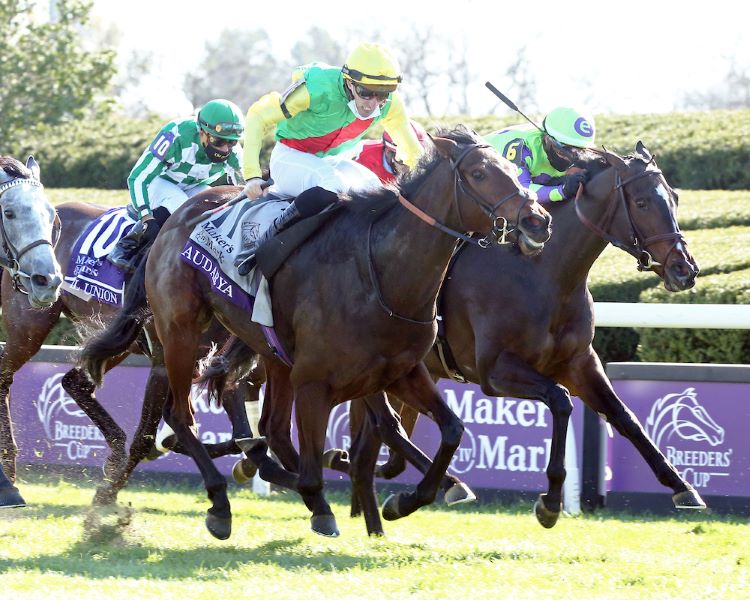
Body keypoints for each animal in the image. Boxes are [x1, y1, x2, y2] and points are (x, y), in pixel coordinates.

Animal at [79, 127, 556, 540]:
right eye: (479, 173)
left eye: (512, 169)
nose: (538, 221)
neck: (382, 273)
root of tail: (172, 219)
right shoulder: (315, 381)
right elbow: (323, 459)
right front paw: (328, 499)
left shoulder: (401, 371)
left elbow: (451, 429)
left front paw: (408, 499)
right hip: (182, 334)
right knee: (184, 416)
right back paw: (220, 502)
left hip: (268, 352)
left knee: (270, 430)